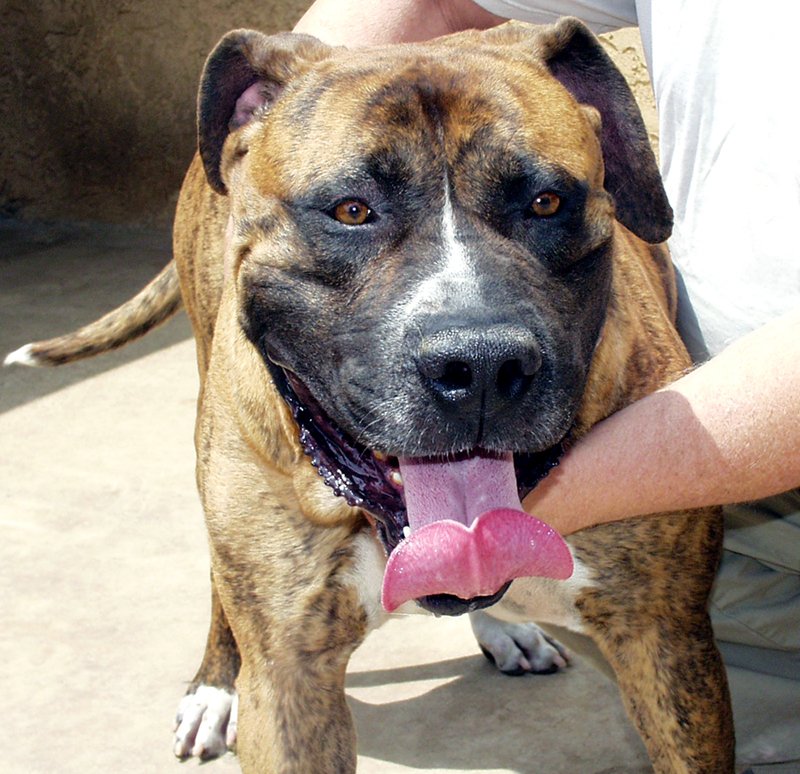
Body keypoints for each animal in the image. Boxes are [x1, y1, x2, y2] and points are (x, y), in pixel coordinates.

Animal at [6, 18, 736, 774]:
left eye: (546, 203)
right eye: (352, 210)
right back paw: (214, 686)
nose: (481, 365)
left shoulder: (664, 640)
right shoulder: (290, 681)